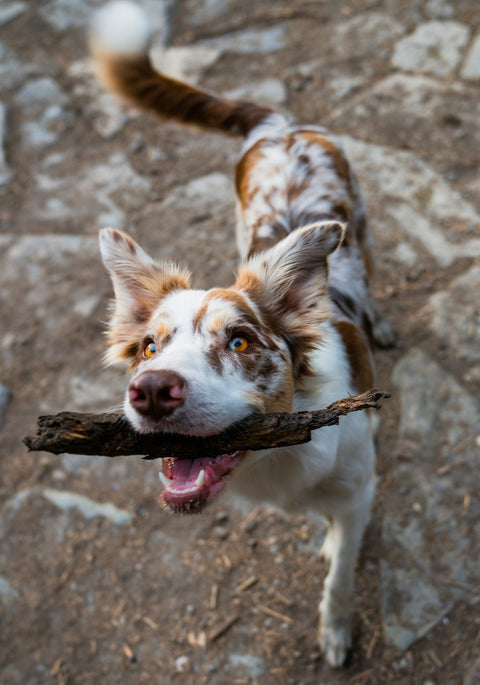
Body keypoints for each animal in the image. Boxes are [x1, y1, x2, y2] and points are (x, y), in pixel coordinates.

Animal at [89, 0, 394, 664]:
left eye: (239, 341)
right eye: (149, 346)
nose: (152, 391)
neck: (274, 459)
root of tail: (280, 124)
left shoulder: (359, 492)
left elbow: (341, 574)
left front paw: (336, 630)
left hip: (360, 219)